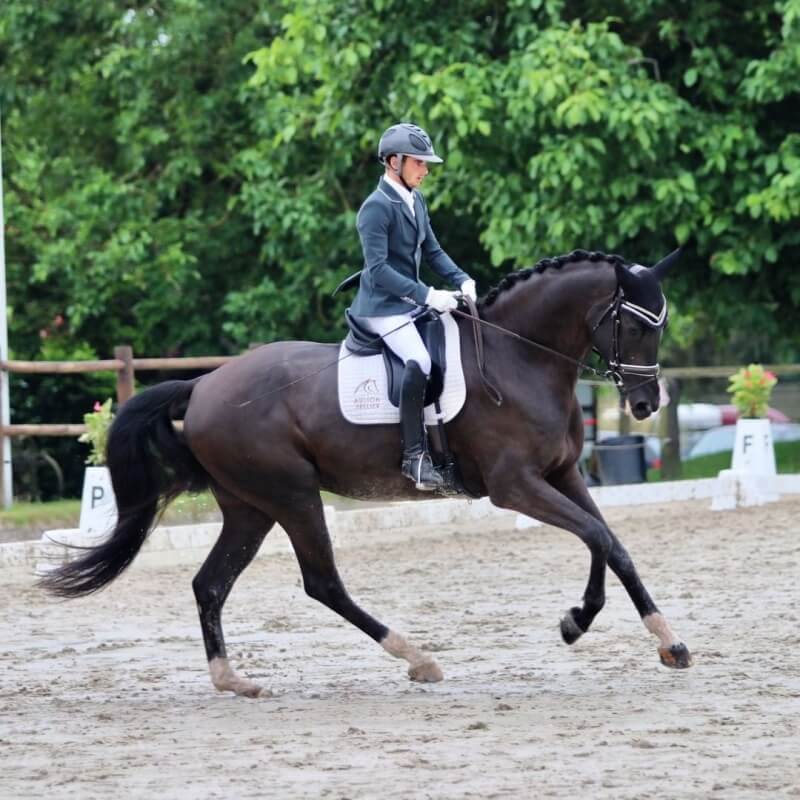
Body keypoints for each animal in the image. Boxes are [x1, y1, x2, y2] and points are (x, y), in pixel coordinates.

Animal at [41, 249, 693, 698]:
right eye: (637, 325)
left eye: (660, 324)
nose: (643, 405)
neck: (520, 358)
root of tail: (203, 385)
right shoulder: (516, 488)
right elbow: (596, 536)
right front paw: (576, 623)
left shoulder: (563, 476)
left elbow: (612, 542)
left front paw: (667, 643)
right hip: (293, 496)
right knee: (322, 583)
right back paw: (417, 658)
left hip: (250, 507)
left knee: (211, 584)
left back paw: (233, 680)